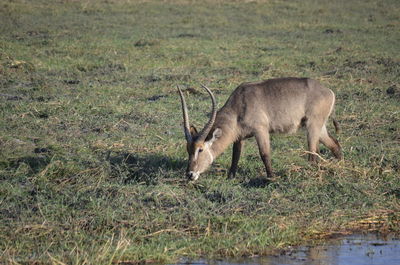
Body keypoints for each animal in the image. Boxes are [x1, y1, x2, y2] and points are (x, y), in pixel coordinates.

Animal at [177, 76, 342, 179]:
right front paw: (231, 177)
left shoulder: (261, 130)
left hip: (312, 127)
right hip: (319, 128)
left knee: (313, 153)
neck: (239, 104)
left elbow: (264, 153)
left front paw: (270, 177)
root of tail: (329, 91)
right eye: (188, 149)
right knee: (334, 144)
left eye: (200, 149)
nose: (190, 174)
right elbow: (235, 155)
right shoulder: (239, 137)